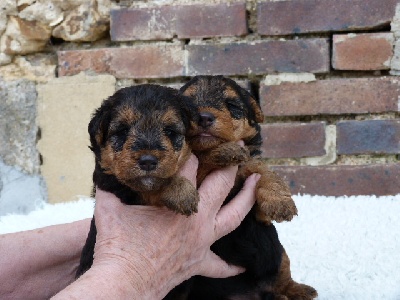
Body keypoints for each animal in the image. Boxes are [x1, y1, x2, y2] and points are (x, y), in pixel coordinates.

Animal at [75, 83, 198, 278]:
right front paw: (181, 193)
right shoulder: (113, 182)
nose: (148, 161)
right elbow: (149, 189)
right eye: (123, 130)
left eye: (169, 131)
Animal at [164, 75, 318, 300]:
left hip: (279, 255)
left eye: (232, 105)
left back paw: (301, 290)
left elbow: (265, 173)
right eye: (188, 105)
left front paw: (280, 203)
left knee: (283, 279)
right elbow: (202, 157)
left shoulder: (259, 212)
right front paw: (226, 151)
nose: (204, 117)